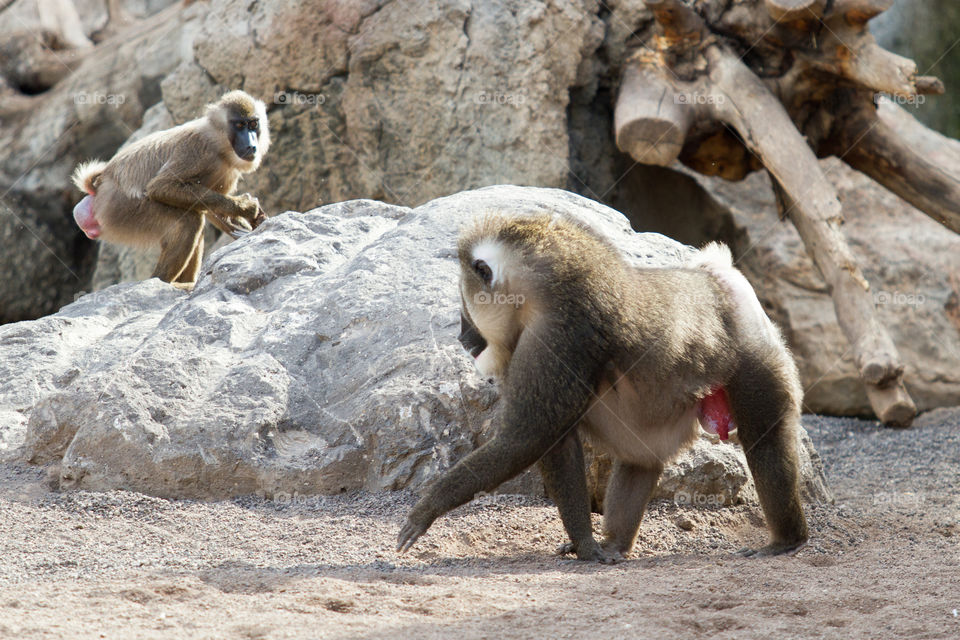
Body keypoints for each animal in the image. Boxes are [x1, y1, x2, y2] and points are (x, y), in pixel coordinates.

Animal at [71, 90, 270, 289]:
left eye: (253, 124)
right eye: (239, 125)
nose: (251, 145)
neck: (219, 142)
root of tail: (100, 187)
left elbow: (213, 208)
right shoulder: (197, 151)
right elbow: (160, 187)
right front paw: (247, 207)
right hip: (122, 213)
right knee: (189, 221)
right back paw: (166, 282)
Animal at [397, 214, 808, 563]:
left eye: (465, 307)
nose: (463, 337)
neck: (543, 289)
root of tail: (717, 282)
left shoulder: (560, 336)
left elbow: (526, 438)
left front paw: (427, 507)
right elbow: (556, 441)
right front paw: (587, 544)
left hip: (756, 362)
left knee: (766, 441)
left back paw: (788, 541)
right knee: (640, 461)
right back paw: (614, 544)